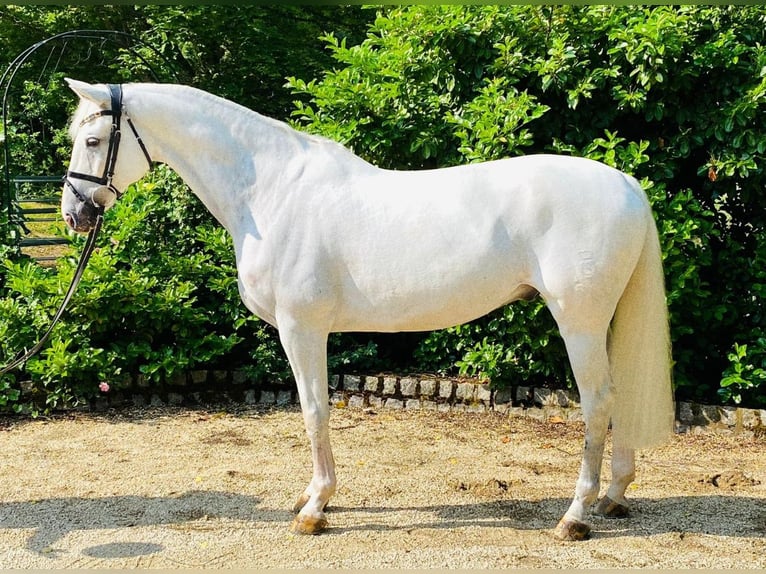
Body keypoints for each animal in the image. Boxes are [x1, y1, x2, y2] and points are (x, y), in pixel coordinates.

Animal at [61, 79, 672, 544]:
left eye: (93, 138)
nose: (74, 214)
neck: (270, 192)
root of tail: (626, 183)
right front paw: (312, 497)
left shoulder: (302, 328)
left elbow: (314, 412)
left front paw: (315, 508)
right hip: (601, 323)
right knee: (615, 399)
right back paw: (614, 495)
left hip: (579, 322)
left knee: (597, 403)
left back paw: (575, 517)